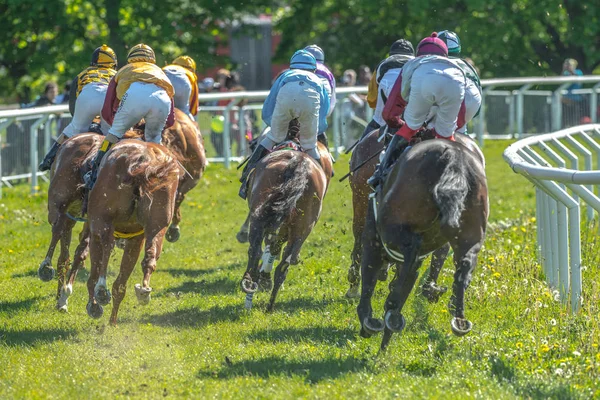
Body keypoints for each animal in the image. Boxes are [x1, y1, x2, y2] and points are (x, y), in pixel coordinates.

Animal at [85, 139, 180, 324]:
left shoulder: (95, 233)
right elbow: (120, 284)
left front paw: (94, 306)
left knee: (107, 245)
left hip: (102, 220)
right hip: (157, 224)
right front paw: (112, 321)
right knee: (150, 257)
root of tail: (145, 159)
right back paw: (143, 291)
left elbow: (94, 273)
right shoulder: (136, 239)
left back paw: (101, 291)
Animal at [238, 120, 332, 310]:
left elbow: (269, 246)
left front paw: (263, 279)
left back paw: (250, 281)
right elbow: (275, 248)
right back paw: (270, 305)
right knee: (283, 265)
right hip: (302, 226)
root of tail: (298, 162)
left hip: (260, 215)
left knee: (256, 249)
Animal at [356, 134, 488, 350]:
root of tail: (453, 159)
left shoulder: (373, 239)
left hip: (394, 231)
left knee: (411, 250)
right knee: (465, 264)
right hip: (471, 235)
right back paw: (458, 316)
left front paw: (369, 321)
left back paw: (392, 309)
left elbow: (370, 276)